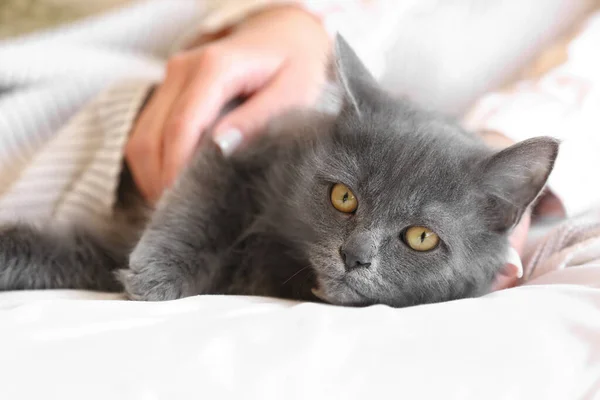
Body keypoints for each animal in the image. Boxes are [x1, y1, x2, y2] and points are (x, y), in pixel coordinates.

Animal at [0, 36, 556, 306]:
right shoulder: (231, 141)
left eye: (421, 238)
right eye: (344, 197)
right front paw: (157, 275)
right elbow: (198, 208)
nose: (354, 256)